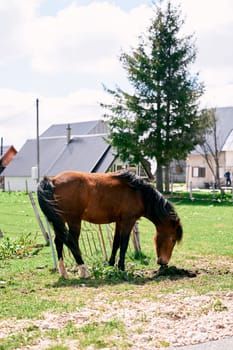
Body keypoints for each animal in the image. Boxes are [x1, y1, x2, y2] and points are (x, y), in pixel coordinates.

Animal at [36, 171, 182, 278]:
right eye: (173, 240)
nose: (163, 262)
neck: (139, 193)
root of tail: (53, 181)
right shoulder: (129, 221)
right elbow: (123, 244)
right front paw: (121, 268)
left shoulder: (119, 222)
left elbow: (116, 243)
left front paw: (111, 265)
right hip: (74, 221)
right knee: (72, 242)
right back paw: (84, 271)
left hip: (61, 221)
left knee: (59, 242)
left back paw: (64, 272)